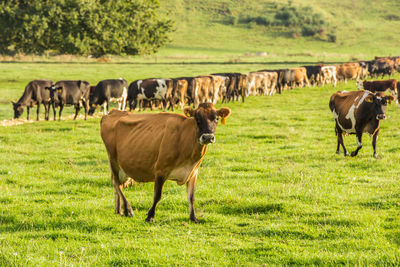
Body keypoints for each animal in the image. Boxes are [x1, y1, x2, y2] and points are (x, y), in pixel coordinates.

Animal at [100, 103, 231, 223]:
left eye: (216, 118)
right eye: (197, 119)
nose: (208, 137)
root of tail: (113, 112)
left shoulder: (193, 172)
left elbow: (191, 197)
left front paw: (193, 217)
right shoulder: (160, 170)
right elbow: (157, 195)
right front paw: (150, 216)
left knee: (117, 184)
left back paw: (118, 210)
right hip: (113, 158)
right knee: (116, 182)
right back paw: (128, 209)